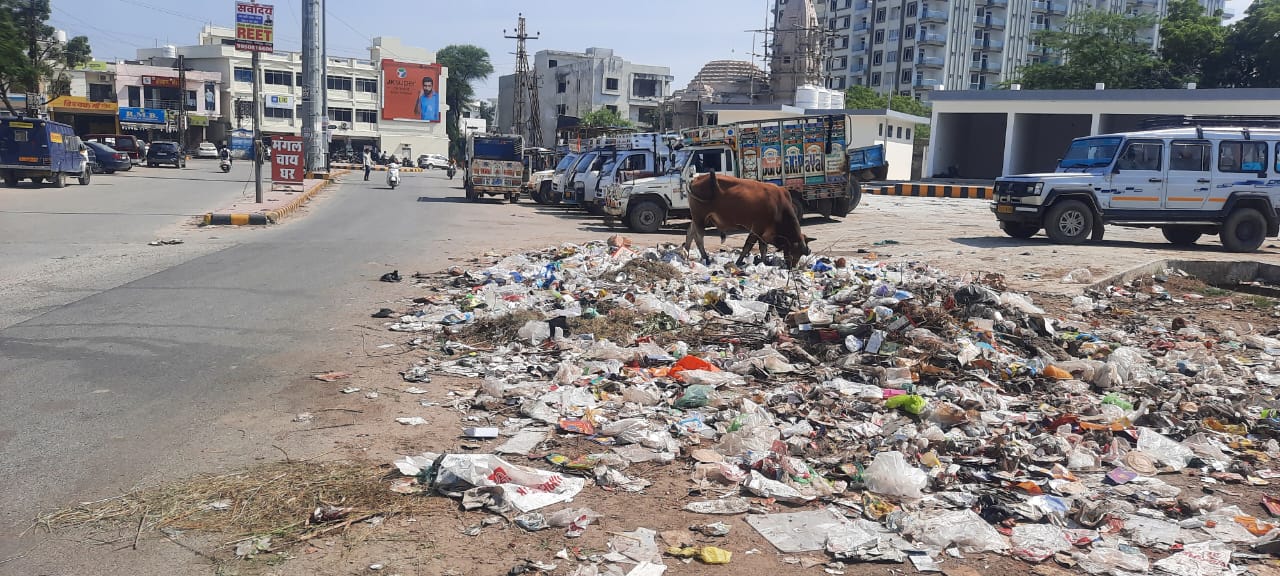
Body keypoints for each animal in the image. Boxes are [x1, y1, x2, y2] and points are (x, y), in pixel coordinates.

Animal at [680, 171, 808, 267]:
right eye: (794, 251)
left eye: (801, 254)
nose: (792, 266)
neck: (779, 205)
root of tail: (696, 179)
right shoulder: (757, 228)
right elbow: (748, 246)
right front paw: (739, 261)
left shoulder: (763, 232)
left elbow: (763, 248)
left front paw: (763, 262)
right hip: (700, 217)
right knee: (699, 237)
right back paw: (705, 257)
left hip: (697, 218)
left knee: (690, 231)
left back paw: (685, 253)